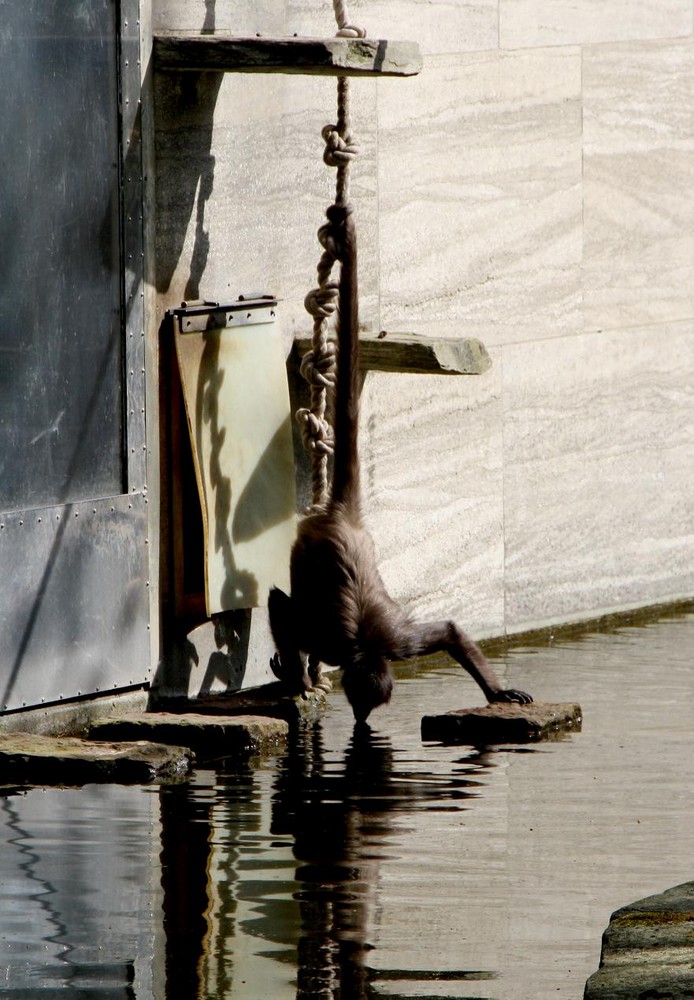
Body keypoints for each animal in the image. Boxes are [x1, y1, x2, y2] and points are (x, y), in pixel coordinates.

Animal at [268, 203, 532, 724]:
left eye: (367, 703)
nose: (361, 718)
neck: (366, 646)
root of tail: (343, 516)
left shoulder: (397, 644)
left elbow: (449, 630)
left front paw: (497, 692)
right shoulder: (343, 641)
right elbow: (281, 606)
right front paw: (299, 677)